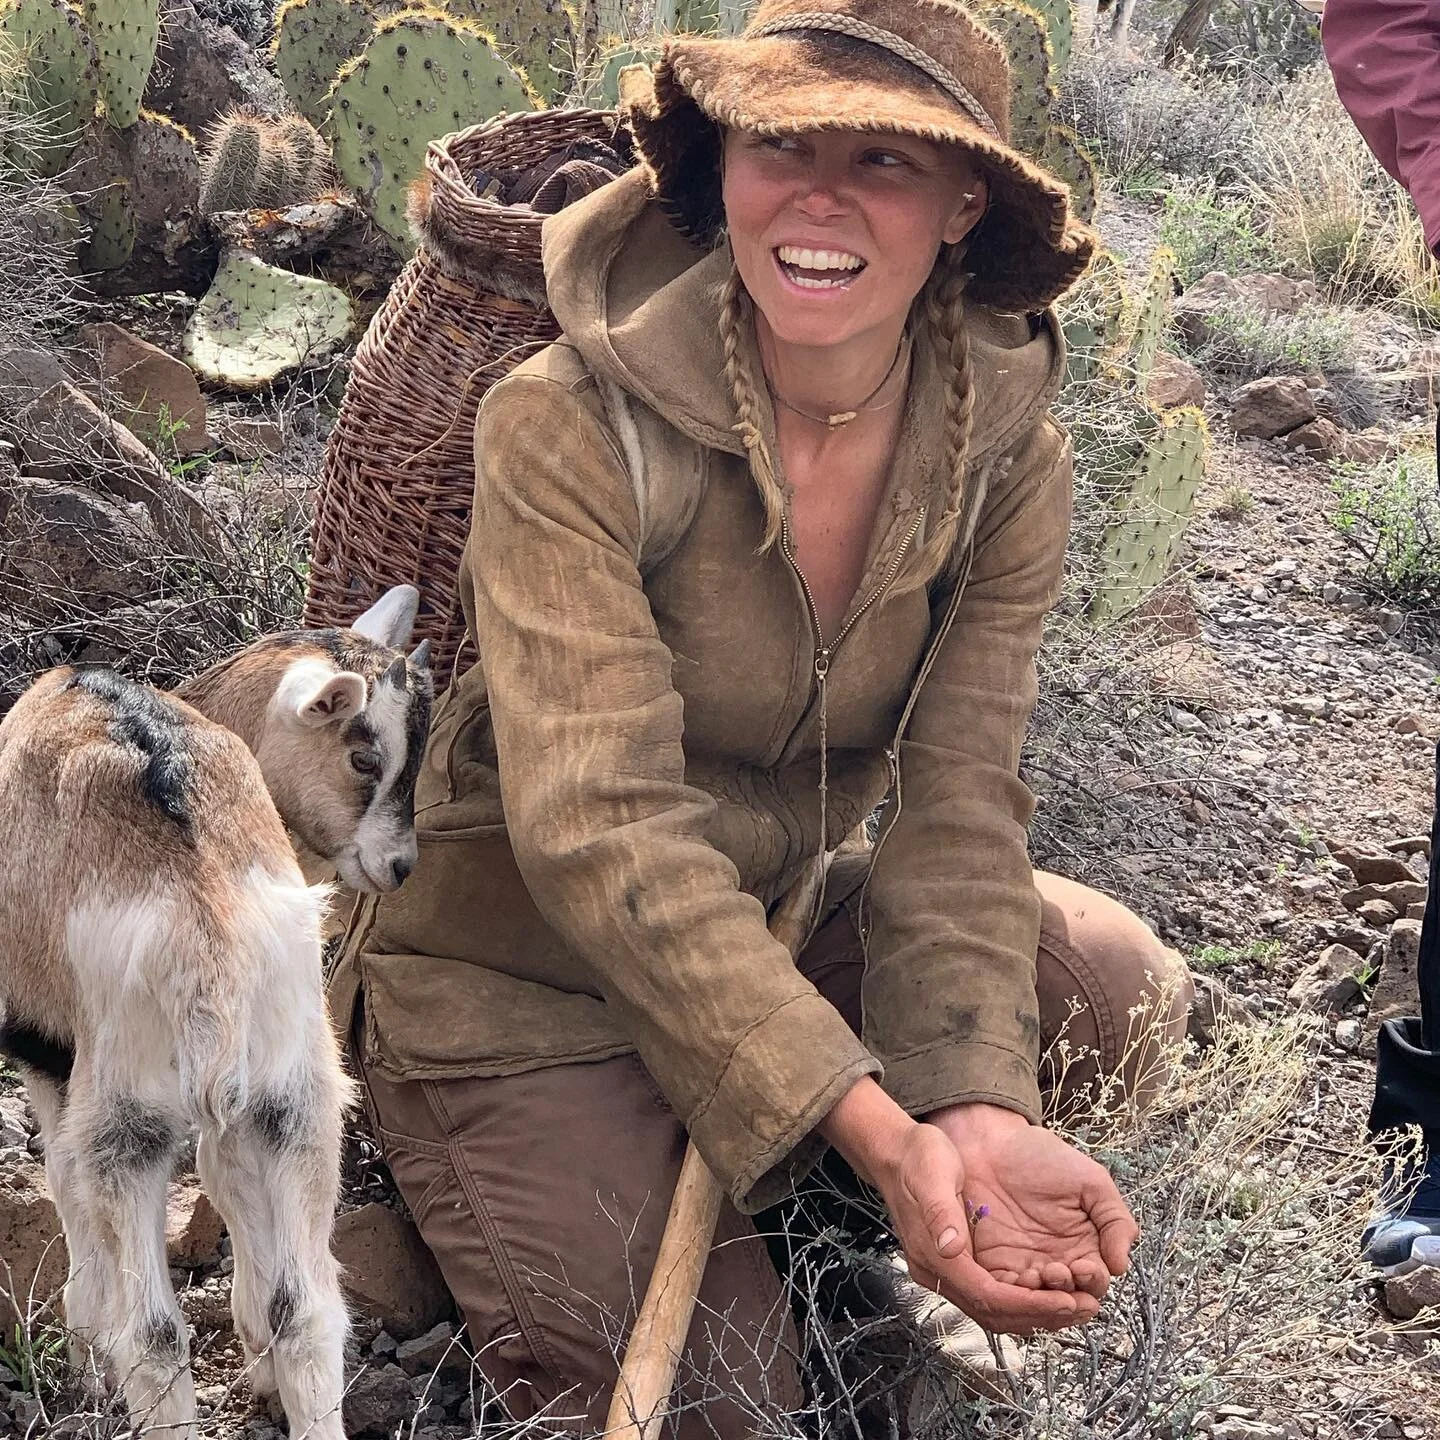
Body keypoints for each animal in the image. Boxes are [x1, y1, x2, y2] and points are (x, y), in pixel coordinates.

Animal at [0, 584, 432, 1440]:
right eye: (365, 757)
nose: (400, 867)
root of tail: (207, 926)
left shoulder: (46, 1050)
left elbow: (63, 1177)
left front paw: (82, 1341)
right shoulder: (245, 1107)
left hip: (127, 1118)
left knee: (154, 1334)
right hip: (302, 1095)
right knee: (313, 1310)